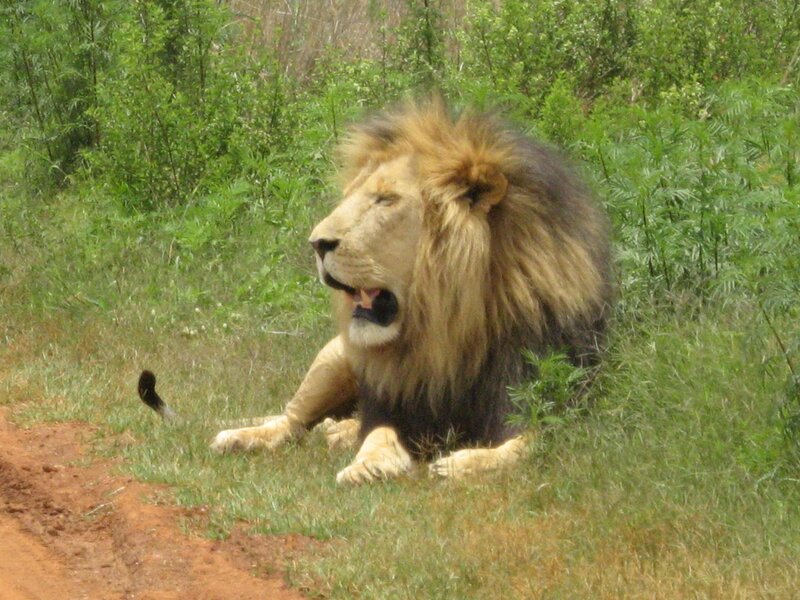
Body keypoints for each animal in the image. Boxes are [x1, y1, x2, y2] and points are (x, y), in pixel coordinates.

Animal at [186, 99, 611, 484]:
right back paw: (245, 437)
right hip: (334, 356)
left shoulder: (546, 399)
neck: (447, 325)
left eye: (384, 200)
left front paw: (463, 463)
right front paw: (368, 466)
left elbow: (529, 445)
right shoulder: (392, 401)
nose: (316, 243)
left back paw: (337, 432)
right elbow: (377, 434)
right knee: (290, 420)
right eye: (352, 196)